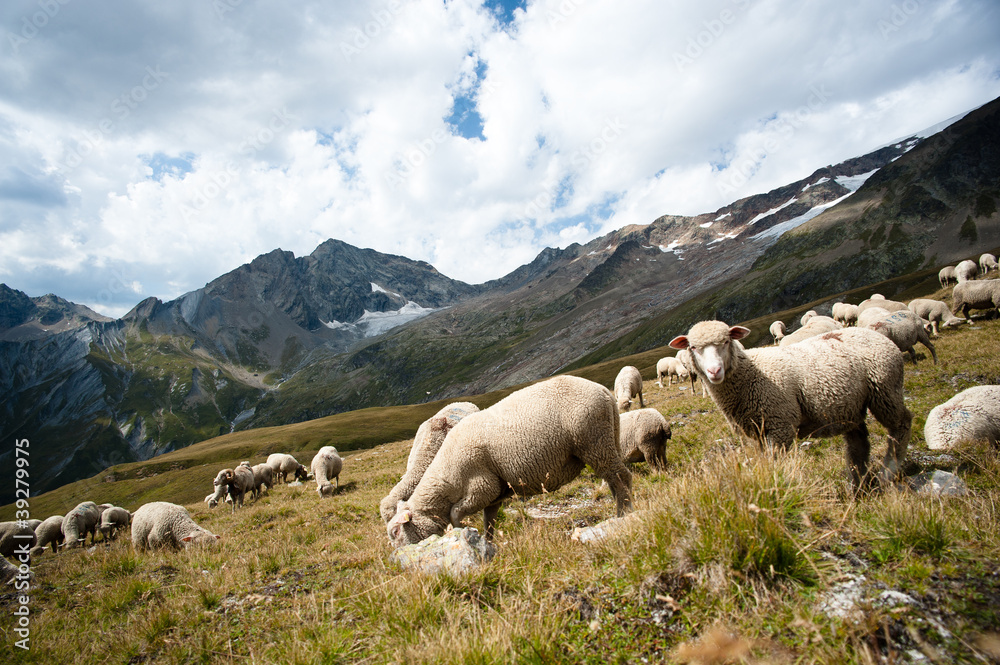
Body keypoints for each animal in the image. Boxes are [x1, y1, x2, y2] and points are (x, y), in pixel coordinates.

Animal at [386, 375, 632, 547]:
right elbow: (489, 522)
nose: (399, 559)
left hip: (594, 441)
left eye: (395, 532)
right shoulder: (494, 495)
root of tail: (604, 391)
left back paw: (625, 514)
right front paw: (487, 543)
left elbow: (456, 514)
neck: (447, 477)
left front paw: (460, 532)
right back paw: (620, 511)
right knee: (614, 480)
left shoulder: (481, 487)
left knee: (622, 477)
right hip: (609, 439)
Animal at [669, 321, 912, 491]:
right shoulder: (760, 431)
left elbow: (776, 463)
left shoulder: (780, 425)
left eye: (726, 341)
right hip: (851, 407)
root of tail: (878, 335)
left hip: (885, 388)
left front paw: (777, 486)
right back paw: (857, 481)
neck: (750, 373)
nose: (714, 371)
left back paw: (888, 472)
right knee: (858, 442)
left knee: (902, 424)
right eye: (693, 347)